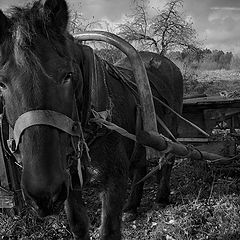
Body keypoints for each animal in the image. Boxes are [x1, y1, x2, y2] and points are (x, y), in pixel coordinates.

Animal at [0, 0, 182, 239]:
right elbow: (78, 225)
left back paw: (161, 197)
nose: (43, 194)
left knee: (168, 157)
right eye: (2, 83)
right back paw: (132, 207)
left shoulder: (114, 182)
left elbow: (109, 230)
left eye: (68, 75)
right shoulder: (69, 185)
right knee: (141, 164)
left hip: (170, 130)